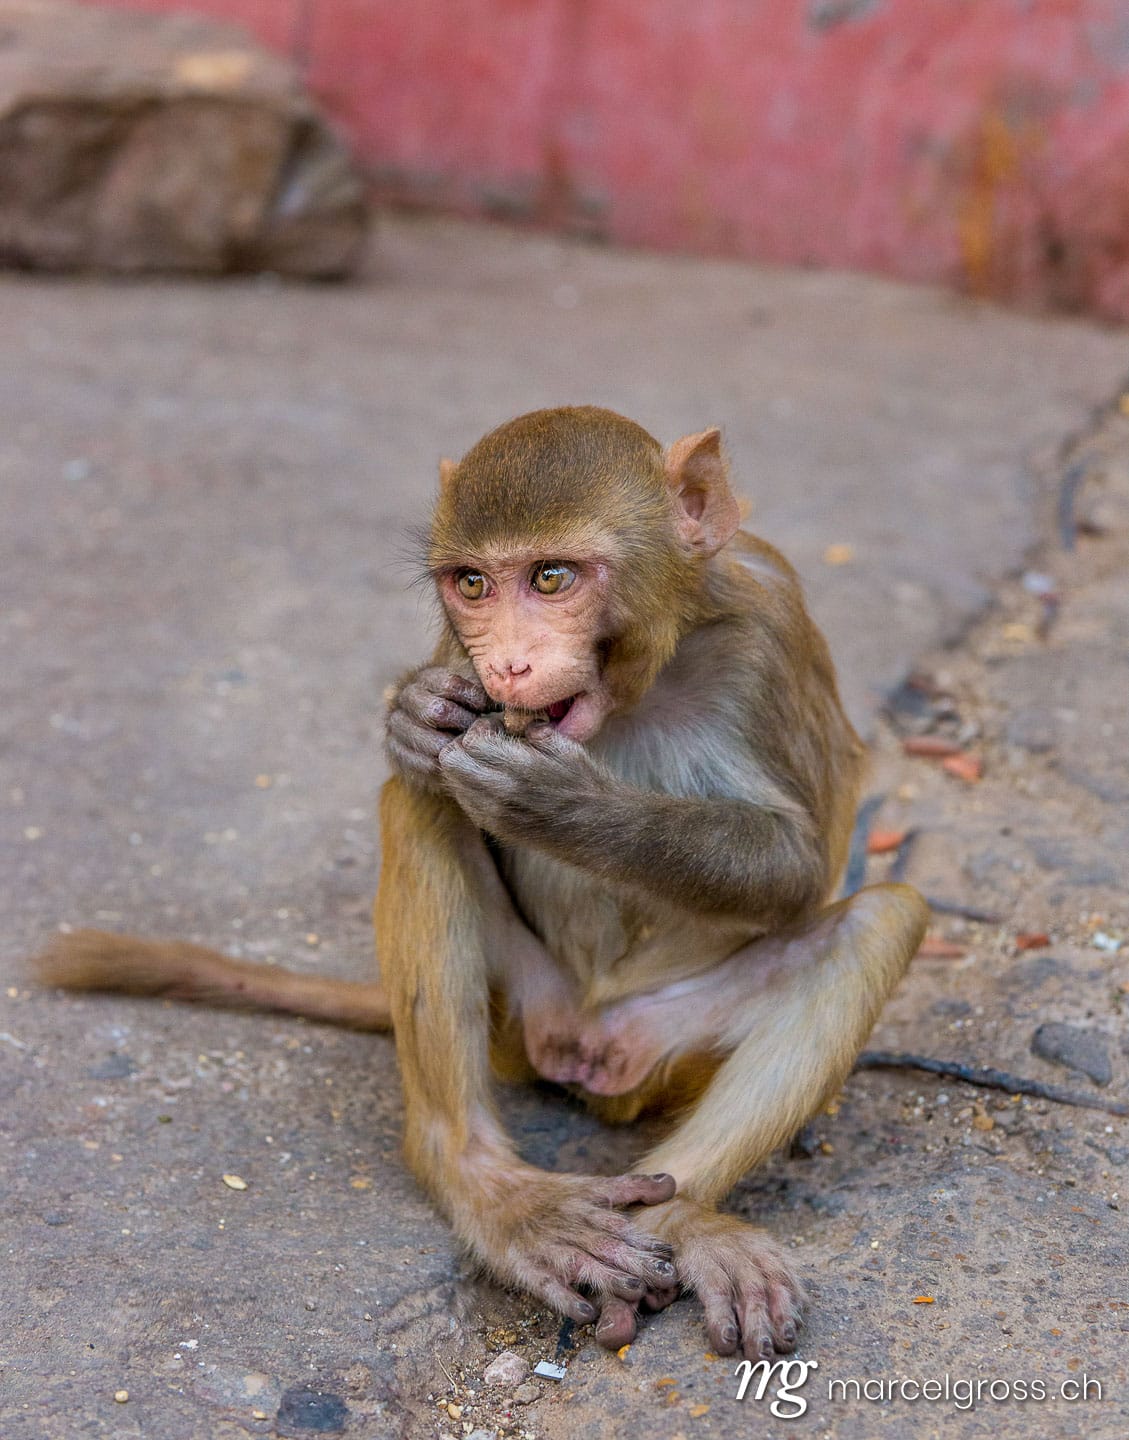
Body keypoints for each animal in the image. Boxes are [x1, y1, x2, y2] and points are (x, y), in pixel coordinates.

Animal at [36, 406, 929, 1361]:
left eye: (551, 577)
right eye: (471, 583)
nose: (505, 667)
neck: (644, 678)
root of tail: (586, 1044)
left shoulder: (770, 631)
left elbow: (795, 868)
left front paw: (562, 803)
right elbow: (426, 765)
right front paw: (413, 714)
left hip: (664, 1046)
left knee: (878, 921)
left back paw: (683, 1216)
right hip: (521, 1010)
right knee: (422, 802)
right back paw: (491, 1189)